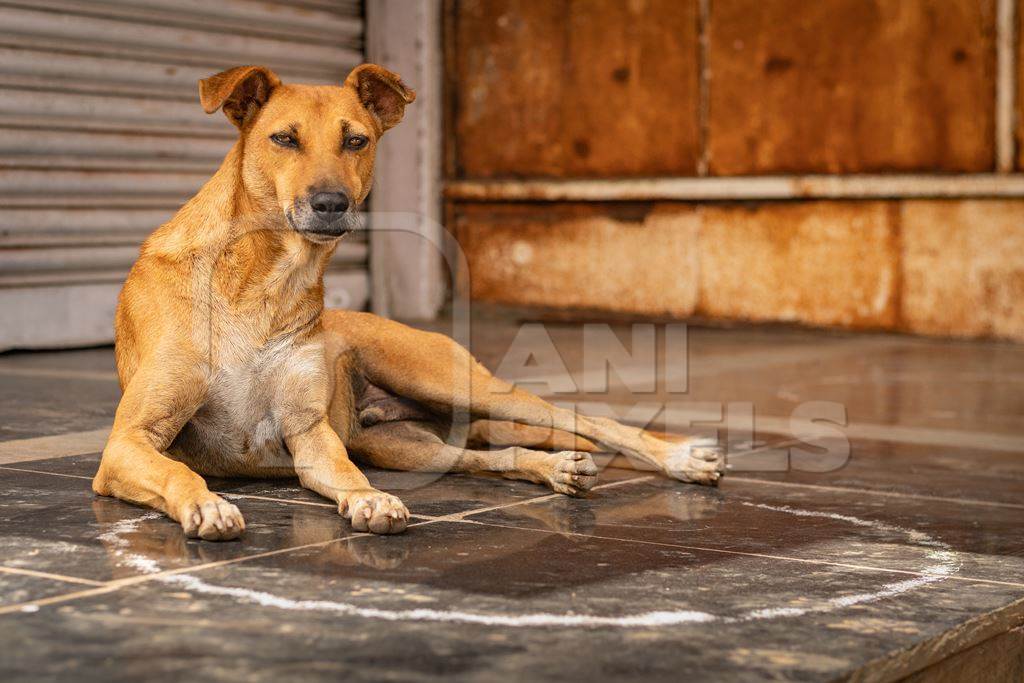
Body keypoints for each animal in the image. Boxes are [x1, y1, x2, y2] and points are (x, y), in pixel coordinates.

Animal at [92, 66, 724, 540]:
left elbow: (346, 475)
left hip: (453, 382)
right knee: (485, 457)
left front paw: (367, 500)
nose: (331, 203)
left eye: (356, 140)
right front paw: (208, 505)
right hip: (405, 446)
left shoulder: (309, 434)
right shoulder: (128, 443)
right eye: (284, 138)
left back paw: (681, 459)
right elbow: (179, 473)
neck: (263, 277)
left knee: (585, 419)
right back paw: (551, 469)